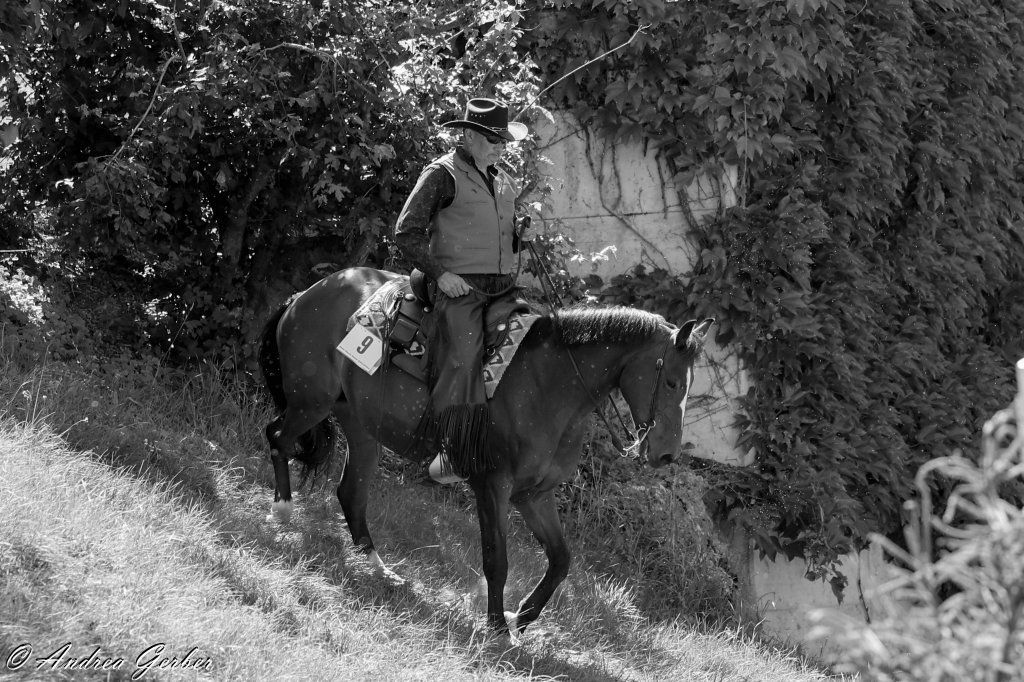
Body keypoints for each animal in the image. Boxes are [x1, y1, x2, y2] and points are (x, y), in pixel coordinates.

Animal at [257, 266, 713, 635]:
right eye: (672, 381)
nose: (667, 455)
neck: (548, 384)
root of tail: (306, 295)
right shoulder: (492, 485)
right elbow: (497, 558)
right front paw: (497, 627)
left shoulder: (535, 494)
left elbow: (561, 560)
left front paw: (520, 618)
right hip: (310, 401)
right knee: (277, 436)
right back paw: (281, 512)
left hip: (360, 424)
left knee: (351, 493)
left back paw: (379, 569)